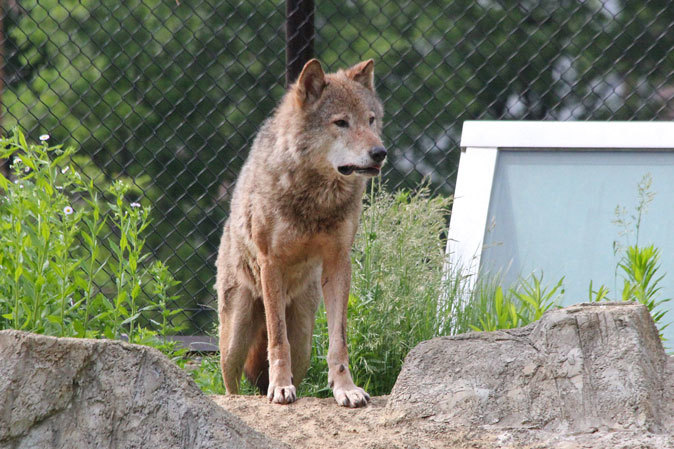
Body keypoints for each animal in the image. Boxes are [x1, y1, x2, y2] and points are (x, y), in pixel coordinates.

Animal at [213, 58, 386, 406]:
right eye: (341, 123)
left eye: (371, 120)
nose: (380, 152)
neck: (316, 197)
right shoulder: (271, 263)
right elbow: (278, 340)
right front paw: (280, 388)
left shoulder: (338, 262)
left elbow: (339, 341)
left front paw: (346, 389)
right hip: (234, 340)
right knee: (232, 385)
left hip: (305, 338)